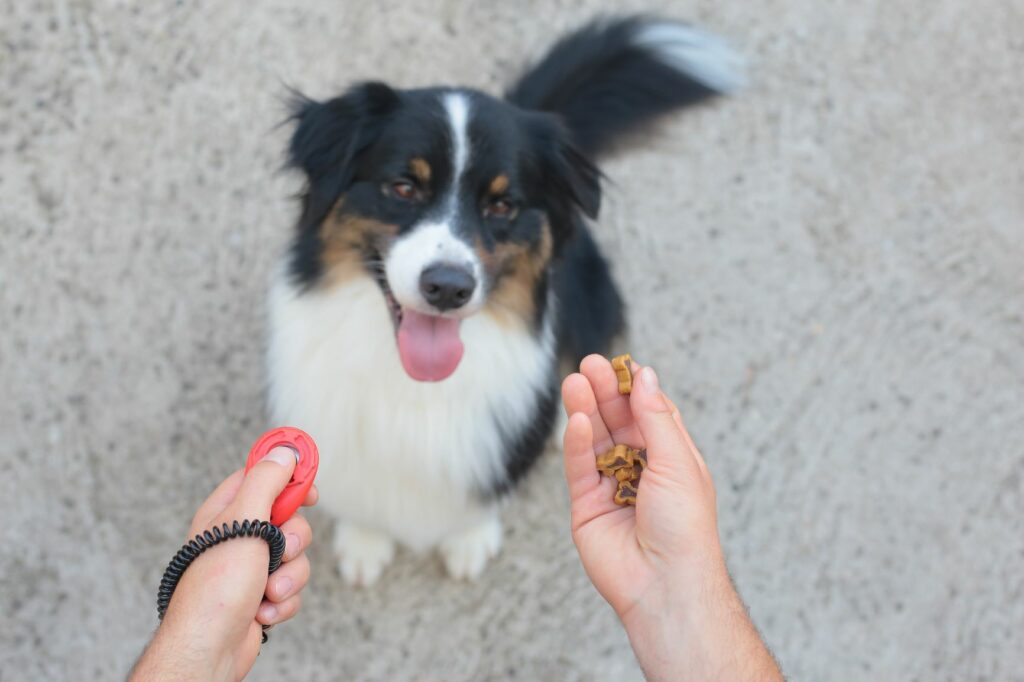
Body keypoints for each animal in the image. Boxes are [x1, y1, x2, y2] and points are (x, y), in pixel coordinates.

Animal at [268, 14, 741, 585]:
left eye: (502, 205)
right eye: (403, 187)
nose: (448, 287)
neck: (415, 386)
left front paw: (469, 537)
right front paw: (365, 540)